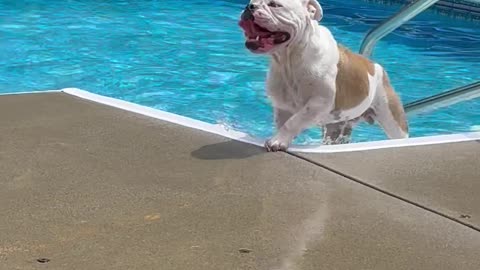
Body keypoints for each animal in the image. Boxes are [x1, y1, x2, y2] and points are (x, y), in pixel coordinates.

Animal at [238, 0, 406, 151]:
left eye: (274, 5)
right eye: (252, 1)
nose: (249, 6)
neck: (290, 59)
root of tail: (377, 67)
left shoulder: (319, 102)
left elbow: (294, 121)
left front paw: (278, 141)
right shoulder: (282, 105)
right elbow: (284, 122)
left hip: (392, 119)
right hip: (336, 126)